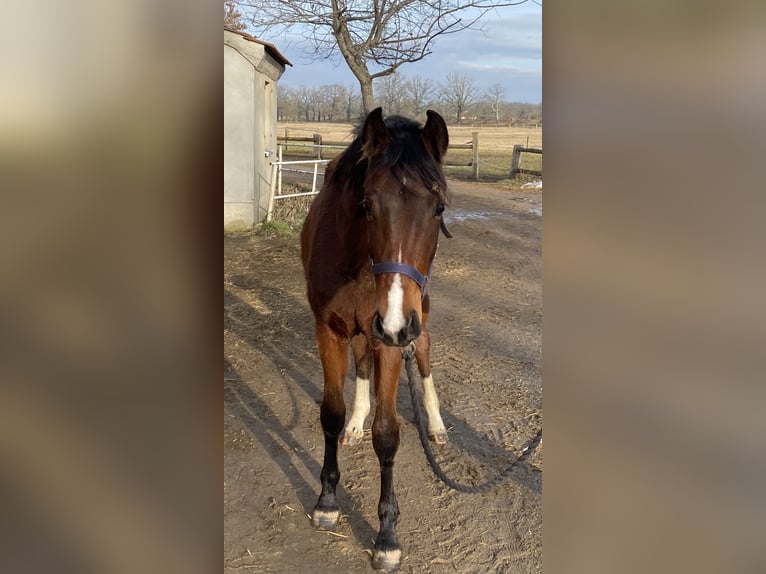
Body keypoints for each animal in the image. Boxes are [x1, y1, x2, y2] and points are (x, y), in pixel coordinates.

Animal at [300, 108, 452, 571]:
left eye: (439, 207)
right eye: (366, 205)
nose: (397, 321)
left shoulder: (393, 339)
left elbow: (387, 435)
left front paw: (386, 536)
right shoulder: (330, 329)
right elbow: (330, 414)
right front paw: (327, 501)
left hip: (418, 314)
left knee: (423, 355)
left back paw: (436, 426)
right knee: (363, 363)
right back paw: (356, 423)